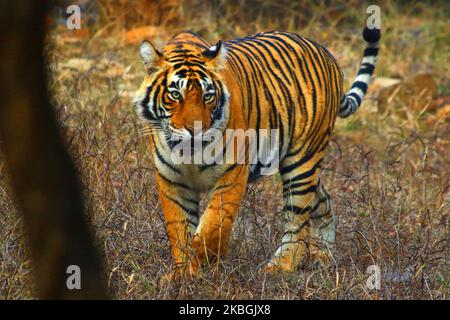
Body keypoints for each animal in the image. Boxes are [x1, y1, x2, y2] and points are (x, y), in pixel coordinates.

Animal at [133, 24, 380, 276]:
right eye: (175, 95)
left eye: (208, 96)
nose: (196, 130)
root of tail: (327, 54)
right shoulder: (172, 180)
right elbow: (179, 229)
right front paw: (185, 274)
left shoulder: (232, 172)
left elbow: (214, 224)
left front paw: (205, 261)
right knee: (323, 202)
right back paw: (323, 256)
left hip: (302, 161)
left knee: (298, 220)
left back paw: (281, 266)